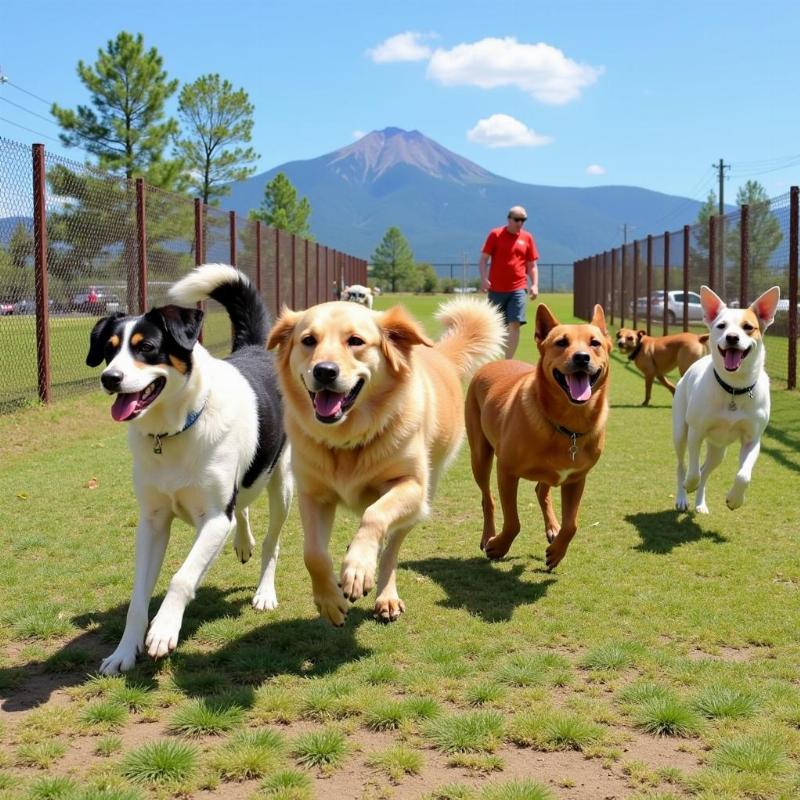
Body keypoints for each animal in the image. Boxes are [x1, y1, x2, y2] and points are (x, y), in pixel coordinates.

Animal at [86, 266, 292, 672]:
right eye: (110, 349)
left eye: (146, 347)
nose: (109, 379)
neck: (173, 430)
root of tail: (254, 348)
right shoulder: (152, 522)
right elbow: (137, 598)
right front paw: (124, 651)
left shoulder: (213, 519)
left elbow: (182, 578)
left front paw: (164, 629)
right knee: (242, 506)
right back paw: (243, 542)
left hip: (283, 484)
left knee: (272, 541)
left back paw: (265, 591)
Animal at [268, 298, 506, 624]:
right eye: (308, 341)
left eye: (355, 341)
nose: (325, 371)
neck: (347, 439)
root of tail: (439, 355)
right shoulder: (312, 495)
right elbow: (313, 554)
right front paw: (329, 601)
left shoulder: (410, 487)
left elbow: (375, 515)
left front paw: (357, 568)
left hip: (421, 502)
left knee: (391, 546)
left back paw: (384, 592)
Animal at [466, 304, 608, 572]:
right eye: (561, 342)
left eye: (595, 343)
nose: (581, 357)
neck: (568, 426)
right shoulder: (506, 471)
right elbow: (513, 521)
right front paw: (498, 546)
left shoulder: (576, 478)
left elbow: (572, 524)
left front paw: (557, 551)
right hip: (480, 454)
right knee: (487, 499)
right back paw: (487, 536)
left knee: (541, 491)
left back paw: (553, 527)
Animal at [672, 284, 780, 516]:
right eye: (721, 326)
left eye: (748, 327)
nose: (732, 337)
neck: (733, 389)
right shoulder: (696, 432)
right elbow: (692, 471)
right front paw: (690, 485)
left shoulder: (752, 439)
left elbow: (743, 475)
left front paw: (735, 499)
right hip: (680, 432)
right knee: (683, 466)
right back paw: (683, 497)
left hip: (718, 449)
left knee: (705, 470)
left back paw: (700, 504)